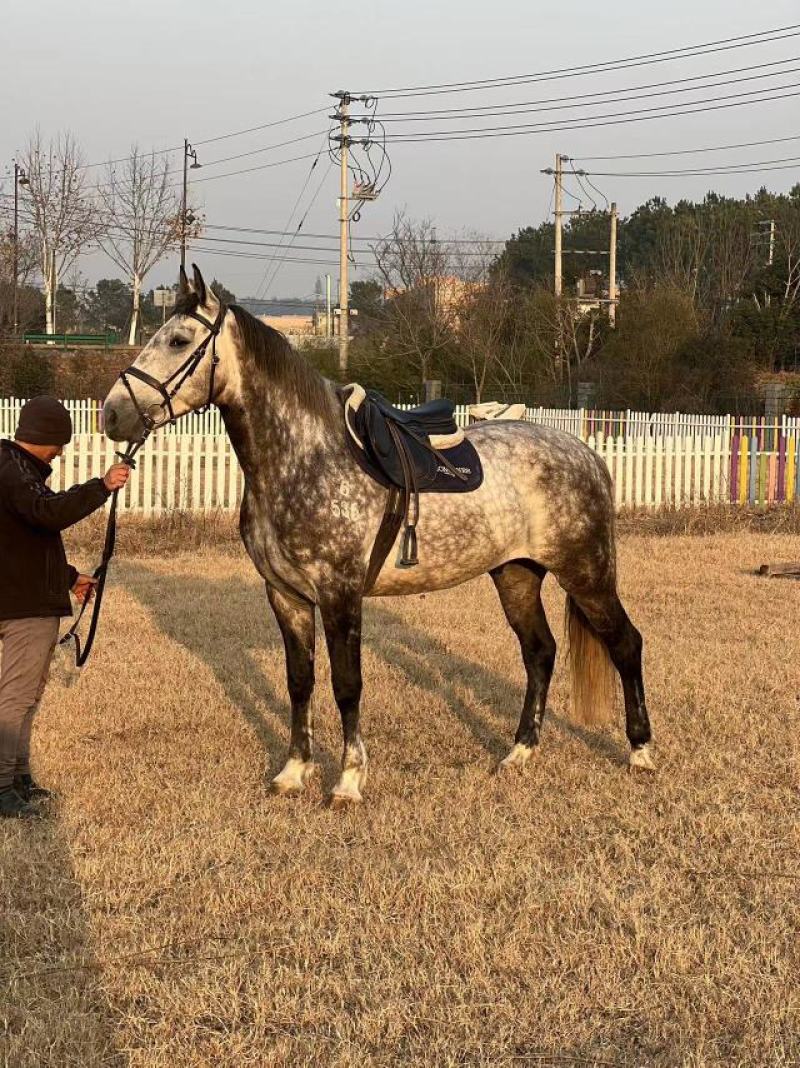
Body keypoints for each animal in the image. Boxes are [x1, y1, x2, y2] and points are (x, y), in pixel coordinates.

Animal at [103, 265, 654, 807]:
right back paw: (519, 753)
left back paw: (641, 753)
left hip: (586, 574)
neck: (304, 460)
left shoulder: (340, 594)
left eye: (178, 340)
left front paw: (348, 781)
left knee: (626, 644)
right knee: (539, 653)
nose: (112, 414)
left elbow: (347, 685)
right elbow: (299, 682)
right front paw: (293, 772)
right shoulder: (286, 596)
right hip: (516, 575)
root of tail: (586, 454)